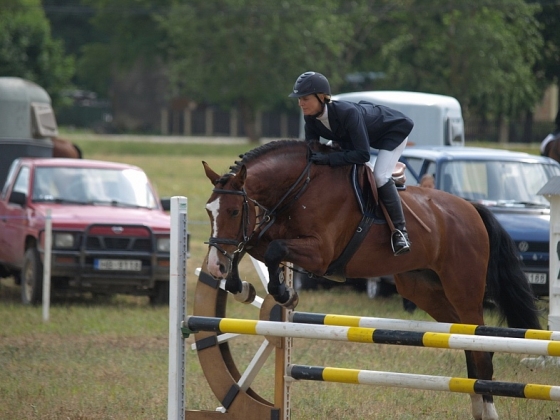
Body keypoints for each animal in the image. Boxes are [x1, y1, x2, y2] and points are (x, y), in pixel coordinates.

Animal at [203, 139, 540, 418]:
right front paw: (241, 287)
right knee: (467, 341)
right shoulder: (271, 234)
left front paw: (284, 294)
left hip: (463, 289)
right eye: (209, 211)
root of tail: (472, 209)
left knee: (480, 346)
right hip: (423, 288)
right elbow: (253, 245)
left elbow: (272, 250)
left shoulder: (320, 253)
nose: (215, 266)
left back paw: (488, 410)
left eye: (234, 211)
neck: (300, 187)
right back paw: (476, 404)